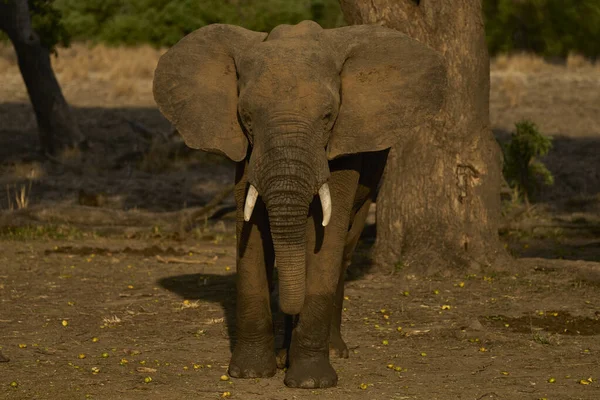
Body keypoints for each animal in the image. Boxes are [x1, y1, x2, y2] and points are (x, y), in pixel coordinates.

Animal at [152, 20, 448, 390]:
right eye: (246, 116)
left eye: (328, 116)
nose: (290, 309)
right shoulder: (247, 154)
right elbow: (251, 235)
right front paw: (250, 373)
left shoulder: (342, 148)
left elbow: (326, 242)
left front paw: (310, 382)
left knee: (345, 248)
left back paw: (333, 351)